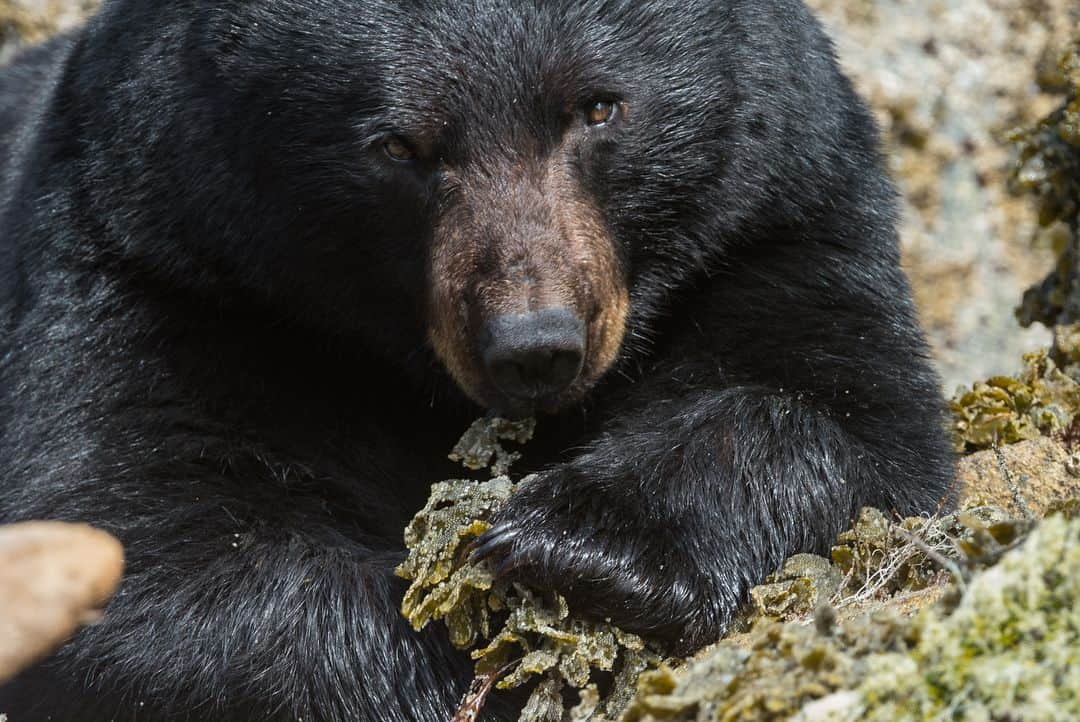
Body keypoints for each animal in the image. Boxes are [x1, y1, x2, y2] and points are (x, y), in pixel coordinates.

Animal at [4, 0, 954, 716]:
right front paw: (458, 639)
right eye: (398, 145)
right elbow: (141, 540)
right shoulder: (149, 271)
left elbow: (848, 421)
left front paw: (577, 543)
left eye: (599, 107)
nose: (535, 345)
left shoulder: (780, 220)